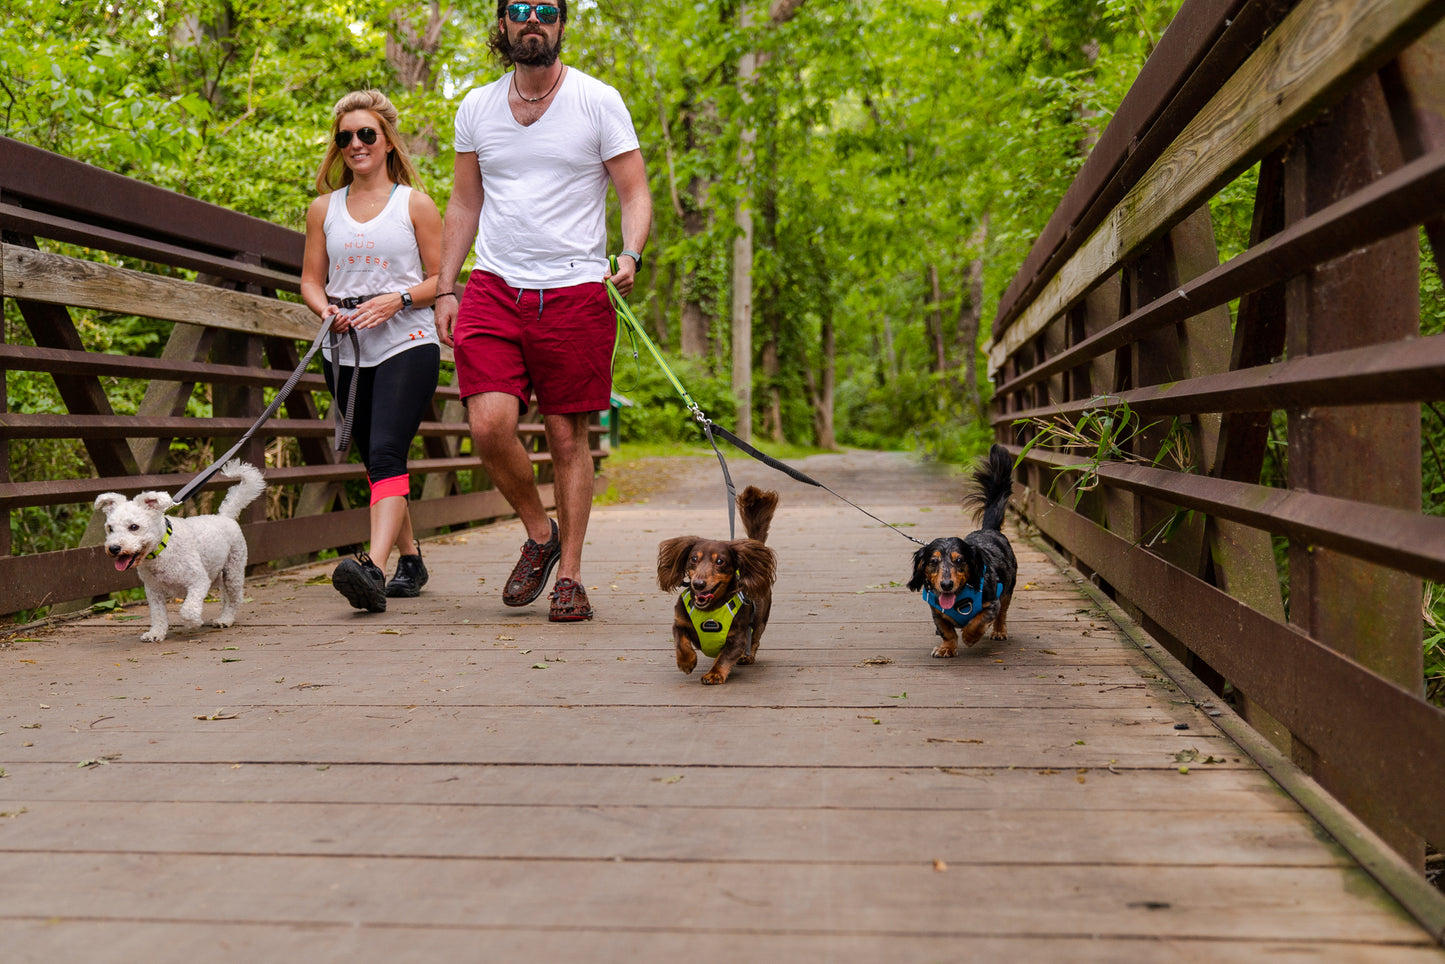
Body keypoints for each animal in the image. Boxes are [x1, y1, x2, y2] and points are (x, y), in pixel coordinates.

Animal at [93, 459, 265, 641]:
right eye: (110, 528)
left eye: (134, 527)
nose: (113, 548)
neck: (163, 549)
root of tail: (225, 516)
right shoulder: (153, 591)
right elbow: (158, 615)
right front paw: (156, 633)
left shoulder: (199, 581)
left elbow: (187, 610)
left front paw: (194, 623)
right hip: (220, 574)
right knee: (226, 596)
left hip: (233, 572)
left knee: (234, 599)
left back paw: (225, 619)